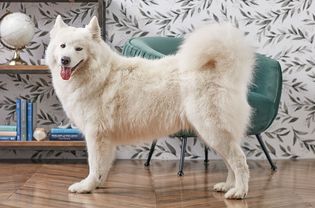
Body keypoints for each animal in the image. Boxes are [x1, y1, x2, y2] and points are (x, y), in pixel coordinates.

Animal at [45, 15, 256, 199]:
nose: (64, 59)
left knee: (239, 161)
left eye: (79, 49)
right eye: (62, 46)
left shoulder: (96, 135)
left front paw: (86, 186)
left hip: (213, 130)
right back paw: (228, 186)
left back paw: (239, 192)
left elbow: (94, 164)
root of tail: (220, 68)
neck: (100, 75)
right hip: (212, 134)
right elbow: (103, 167)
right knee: (230, 162)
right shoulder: (106, 139)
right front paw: (97, 184)